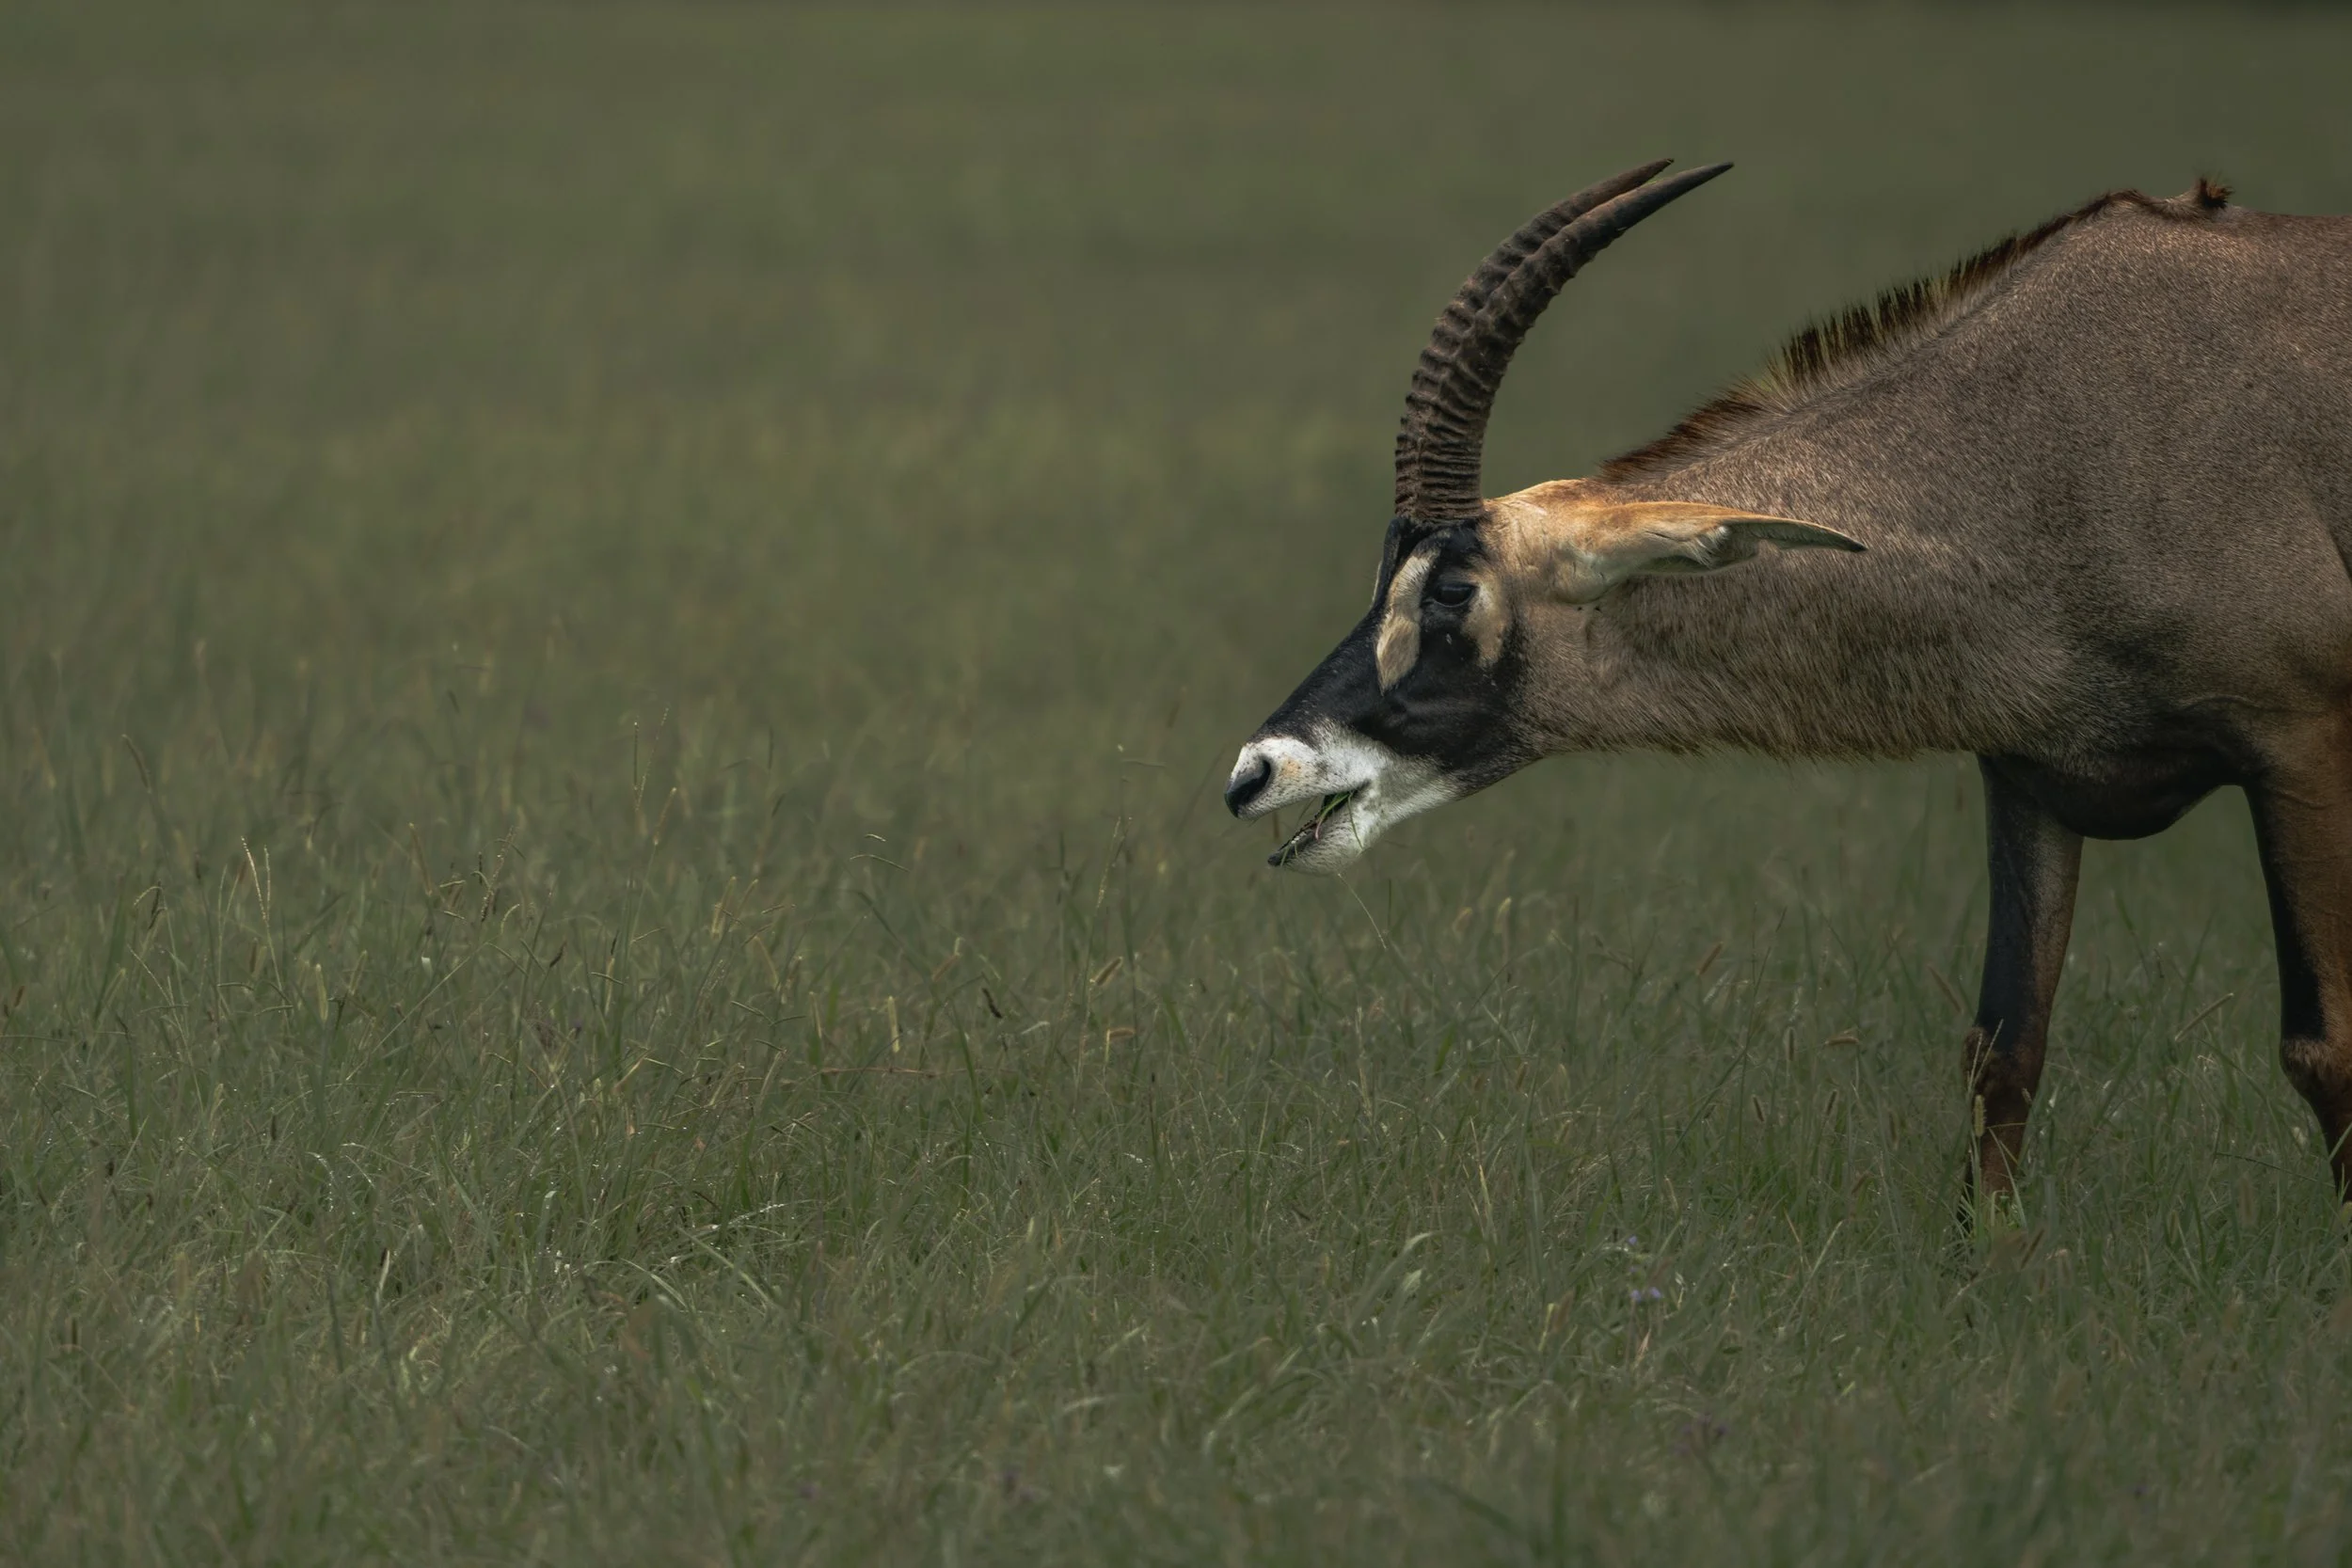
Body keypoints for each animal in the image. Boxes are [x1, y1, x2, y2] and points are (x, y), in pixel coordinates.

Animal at [1224, 160, 2352, 1206]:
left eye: (1454, 588)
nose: (1255, 771)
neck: (2049, 449)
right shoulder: (2028, 777)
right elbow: (2004, 1050)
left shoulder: (2298, 747)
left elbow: (2322, 1048)